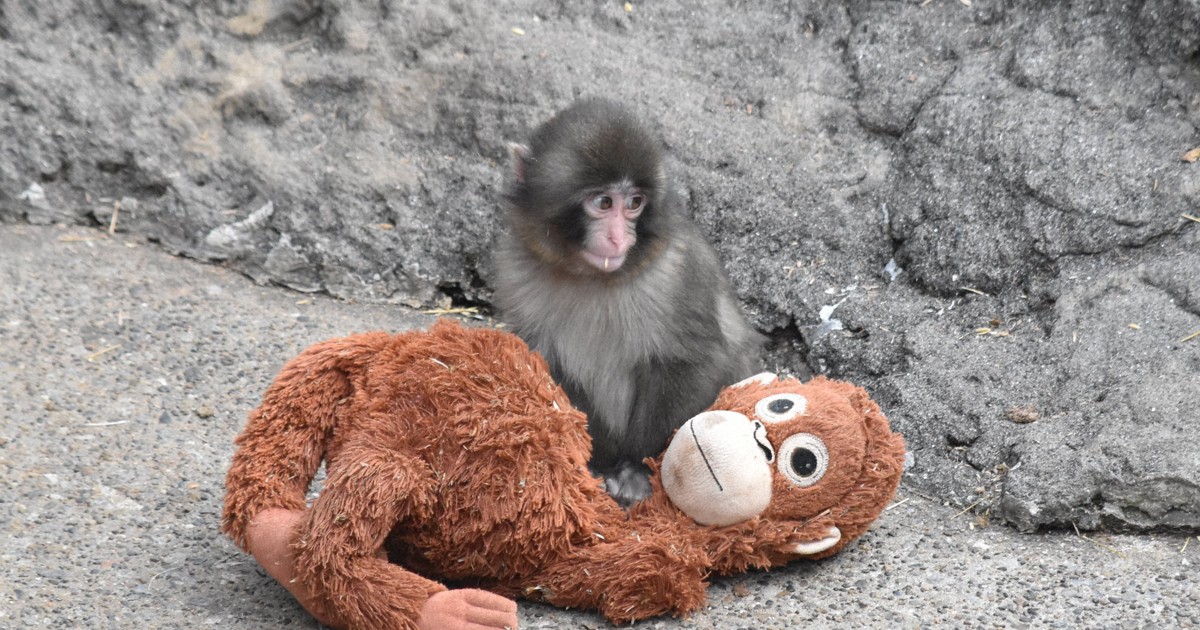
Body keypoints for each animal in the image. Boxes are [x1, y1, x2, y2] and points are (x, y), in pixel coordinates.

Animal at [492, 98, 763, 506]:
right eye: (604, 202)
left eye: (634, 203)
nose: (620, 238)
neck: (592, 277)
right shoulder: (515, 271)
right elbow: (545, 367)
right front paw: (596, 463)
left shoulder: (678, 269)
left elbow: (694, 360)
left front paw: (635, 469)